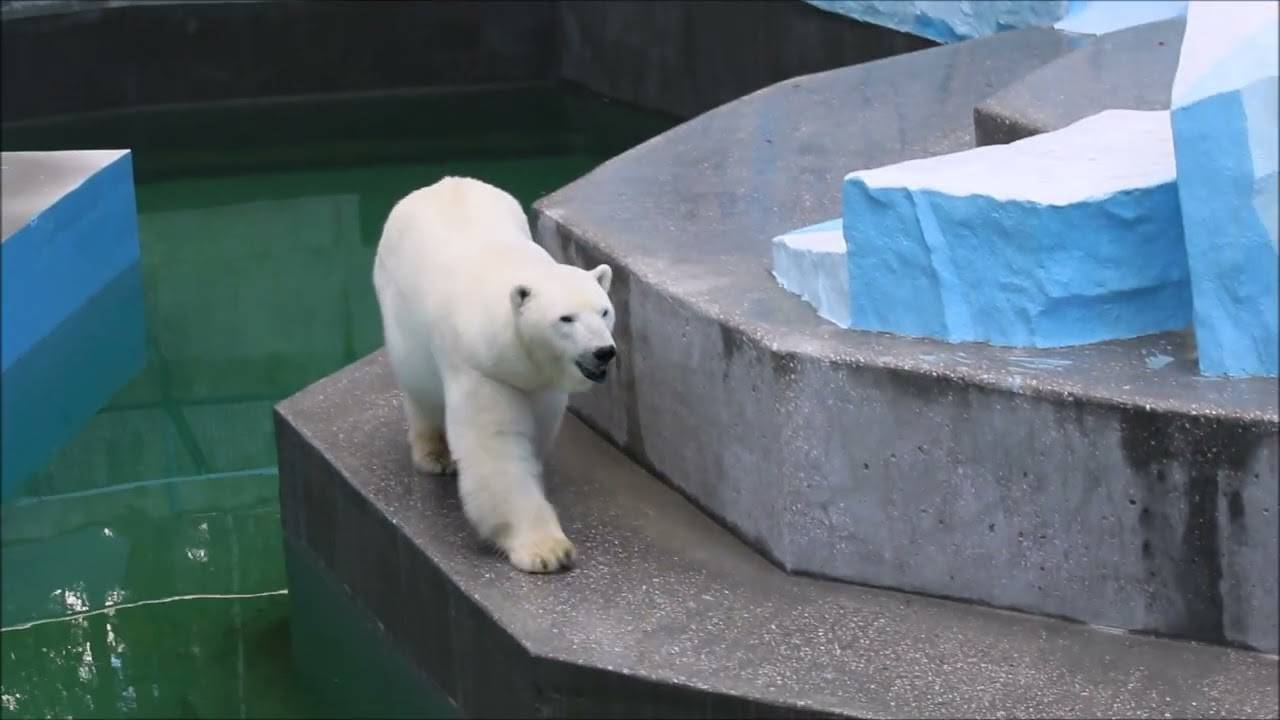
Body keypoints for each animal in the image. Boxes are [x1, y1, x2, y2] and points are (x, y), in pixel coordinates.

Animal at [372, 176, 616, 573]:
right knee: (420, 387)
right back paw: (434, 454)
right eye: (566, 318)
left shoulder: (541, 382)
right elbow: (497, 446)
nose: (603, 351)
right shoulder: (480, 366)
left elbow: (538, 428)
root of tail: (442, 182)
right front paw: (547, 550)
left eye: (604, 311)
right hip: (400, 316)